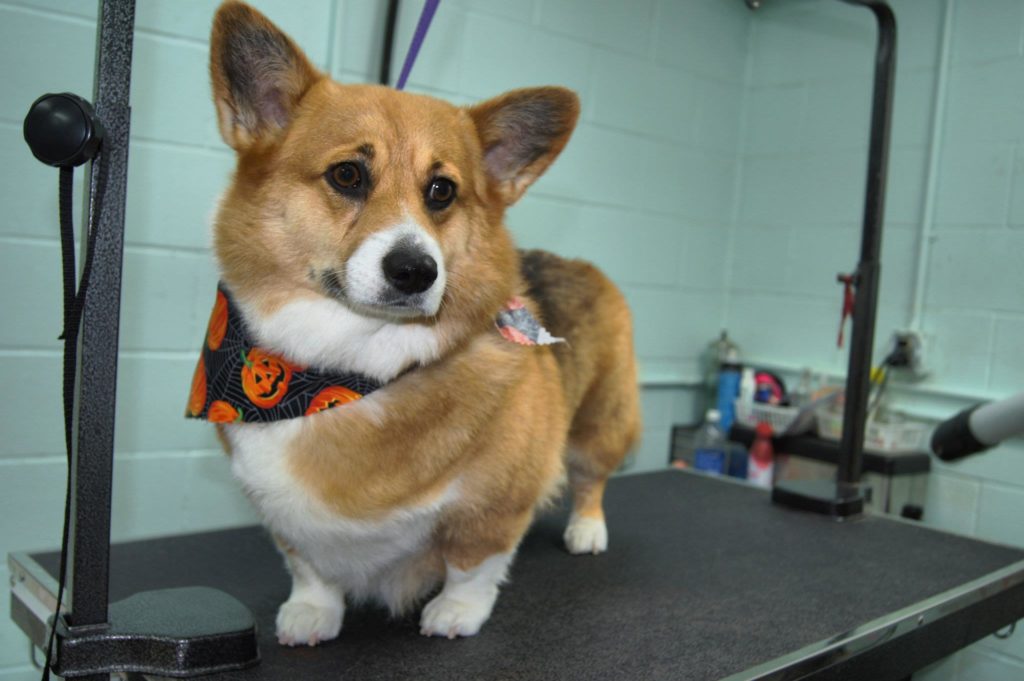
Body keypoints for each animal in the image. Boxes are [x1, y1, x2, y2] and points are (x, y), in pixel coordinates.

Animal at [191, 2, 634, 647]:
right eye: (347, 175)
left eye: (441, 190)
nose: (415, 270)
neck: (343, 371)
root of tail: (579, 262)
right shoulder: (284, 516)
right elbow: (308, 565)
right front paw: (313, 611)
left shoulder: (498, 501)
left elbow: (474, 561)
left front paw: (455, 611)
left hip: (602, 419)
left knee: (590, 477)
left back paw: (588, 528)